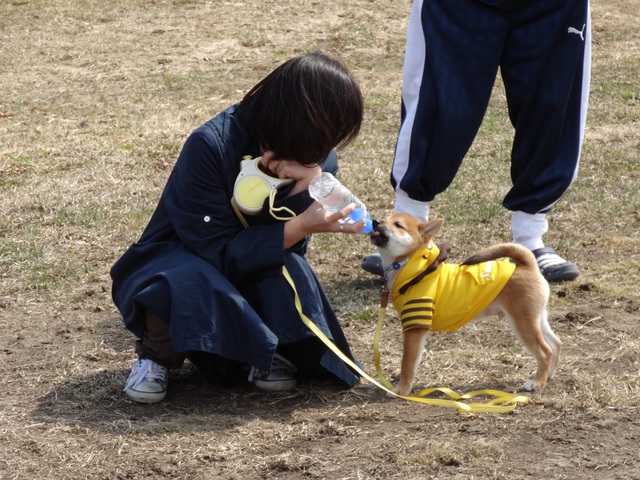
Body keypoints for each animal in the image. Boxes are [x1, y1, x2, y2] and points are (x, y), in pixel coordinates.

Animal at [370, 213, 560, 394]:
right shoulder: (417, 330)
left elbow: (407, 363)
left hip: (523, 323)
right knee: (556, 344)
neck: (415, 269)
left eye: (398, 225)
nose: (375, 221)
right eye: (386, 218)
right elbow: (413, 362)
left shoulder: (414, 329)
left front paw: (401, 390)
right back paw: (549, 375)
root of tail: (528, 265)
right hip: (536, 319)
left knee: (545, 352)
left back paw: (536, 383)